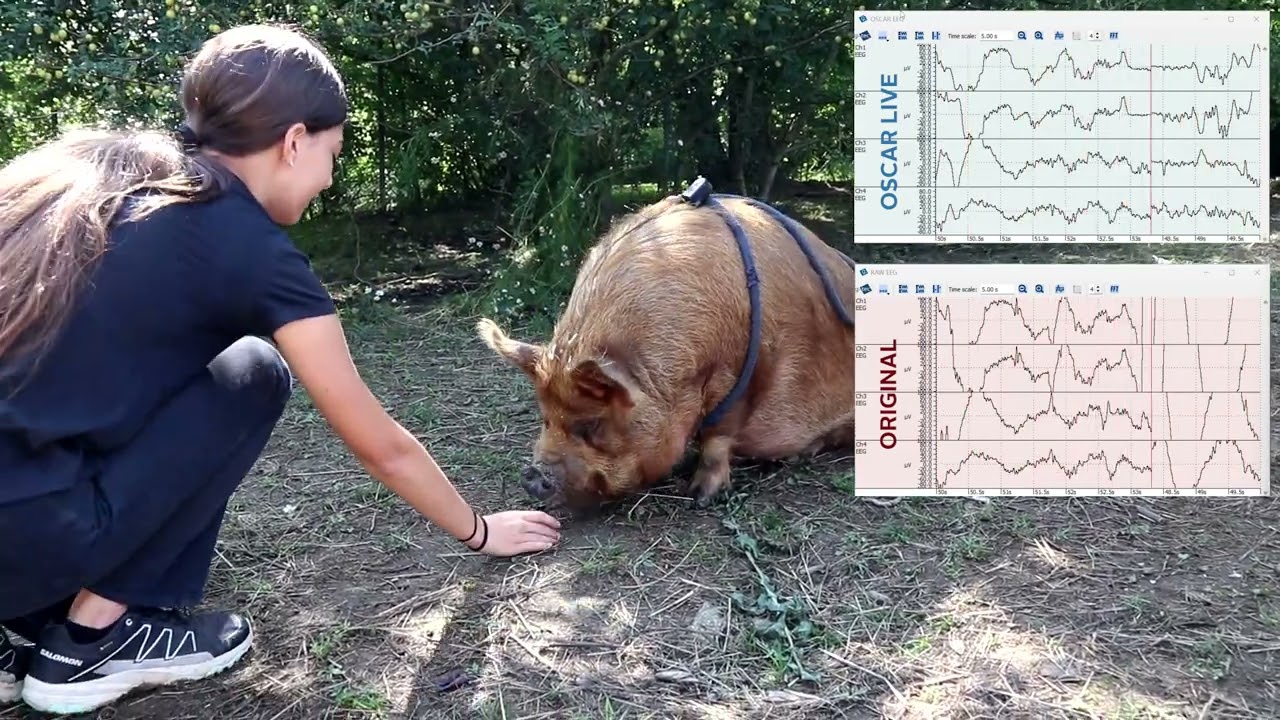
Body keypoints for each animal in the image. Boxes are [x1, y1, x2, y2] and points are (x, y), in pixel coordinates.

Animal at [478, 192, 855, 510]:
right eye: (545, 417)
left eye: (592, 424)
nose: (532, 475)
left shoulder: (742, 379)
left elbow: (717, 439)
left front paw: (699, 497)